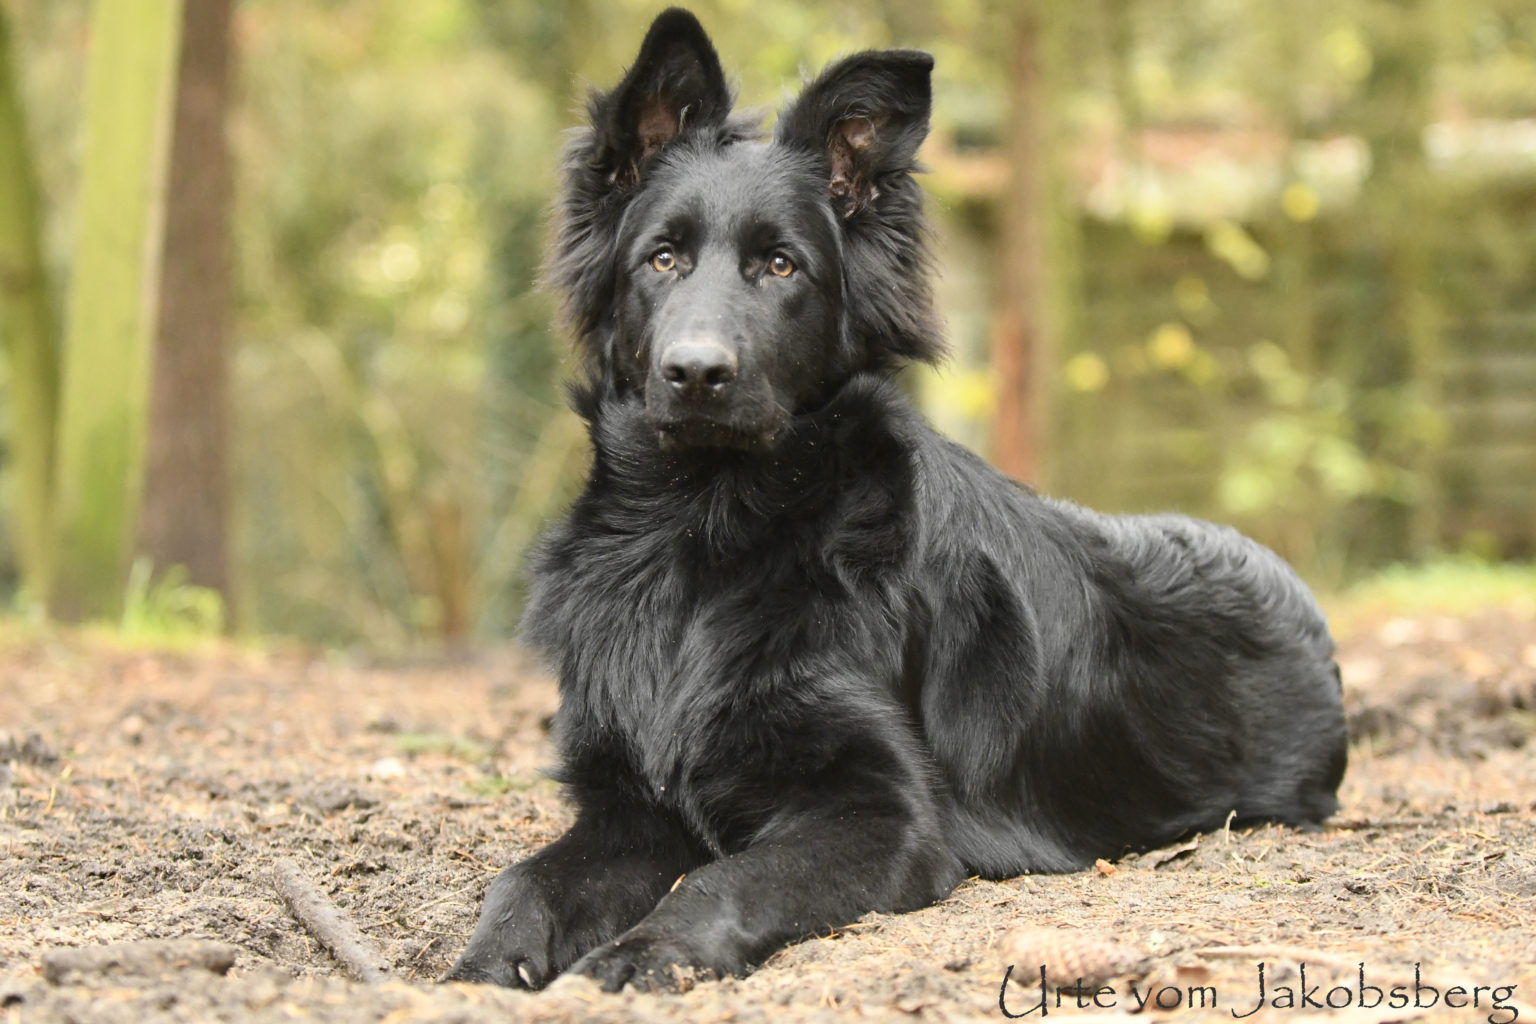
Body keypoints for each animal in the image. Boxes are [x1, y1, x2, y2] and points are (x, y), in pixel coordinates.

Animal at [445, 8, 1345, 994]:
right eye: (663, 258)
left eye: (781, 266)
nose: (696, 373)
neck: (705, 533)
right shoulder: (626, 801)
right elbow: (525, 880)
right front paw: (479, 967)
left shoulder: (885, 813)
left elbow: (724, 878)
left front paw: (642, 956)